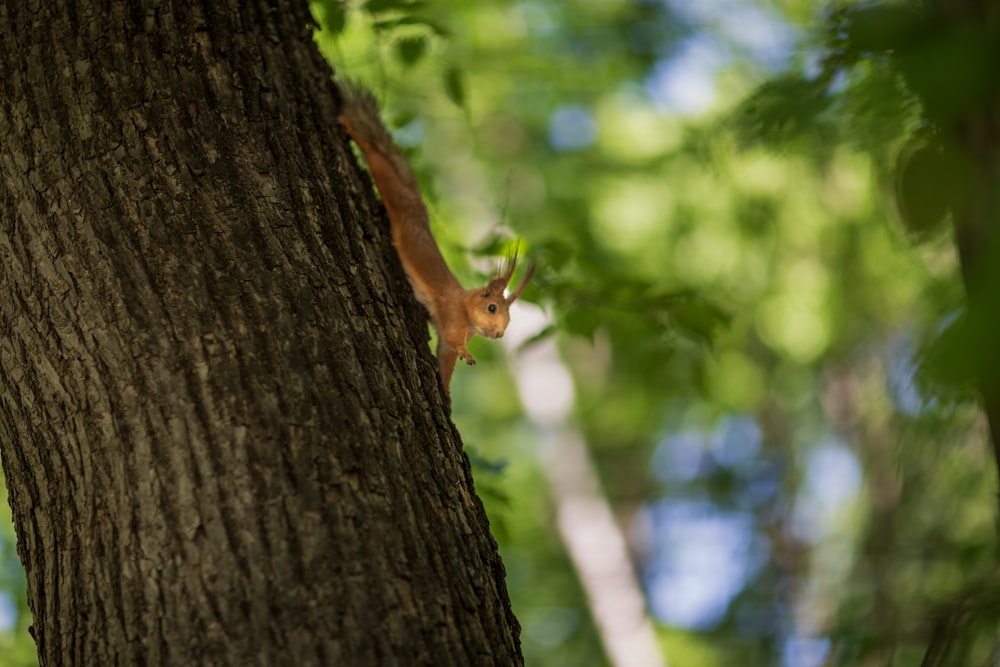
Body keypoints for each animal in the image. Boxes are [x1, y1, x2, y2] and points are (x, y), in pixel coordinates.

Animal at [338, 81, 532, 400]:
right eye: (492, 308)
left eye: (510, 319)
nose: (499, 333)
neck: (466, 309)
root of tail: (417, 204)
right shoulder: (451, 315)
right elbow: (454, 341)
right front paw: (466, 353)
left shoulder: (444, 337)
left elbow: (445, 358)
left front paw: (446, 392)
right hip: (395, 195)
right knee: (376, 157)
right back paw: (353, 131)